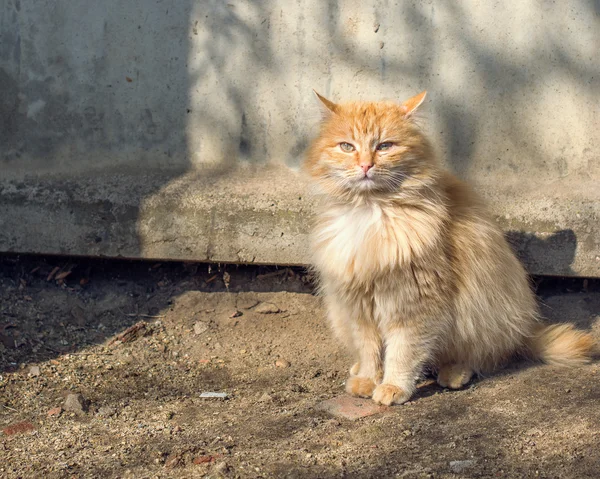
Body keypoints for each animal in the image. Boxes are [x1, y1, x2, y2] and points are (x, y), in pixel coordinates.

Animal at [308, 90, 592, 404]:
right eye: (347, 146)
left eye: (385, 146)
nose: (365, 166)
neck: (370, 212)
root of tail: (524, 329)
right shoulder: (358, 306)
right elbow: (370, 350)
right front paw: (367, 380)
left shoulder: (414, 304)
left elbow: (402, 353)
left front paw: (393, 387)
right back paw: (358, 368)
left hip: (482, 315)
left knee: (486, 357)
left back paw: (455, 373)